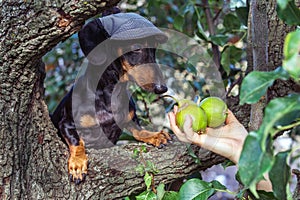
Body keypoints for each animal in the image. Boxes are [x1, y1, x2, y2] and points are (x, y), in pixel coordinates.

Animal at [50, 10, 170, 184]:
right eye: (136, 49)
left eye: (154, 49)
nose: (162, 88)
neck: (110, 93)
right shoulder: (66, 124)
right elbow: (77, 141)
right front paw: (78, 164)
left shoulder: (128, 119)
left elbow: (139, 131)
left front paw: (155, 135)